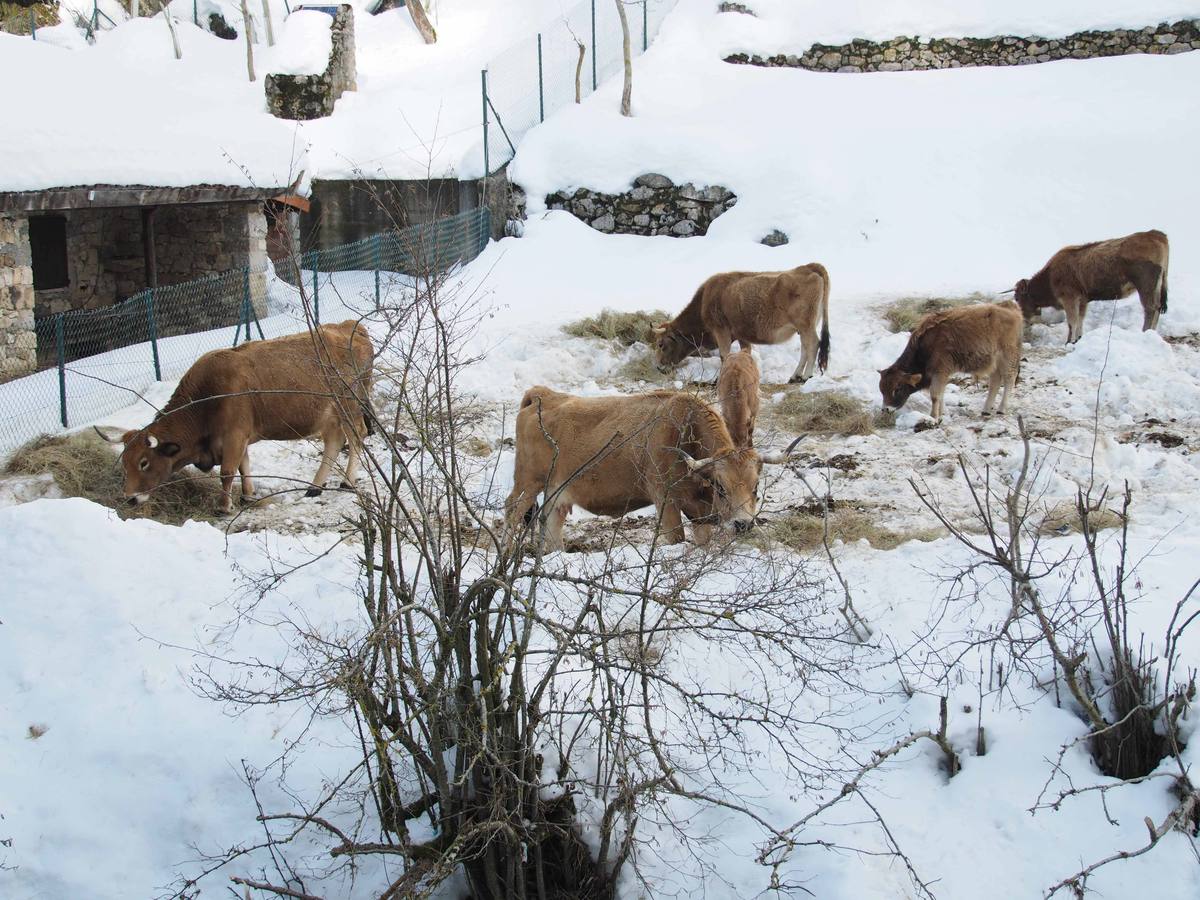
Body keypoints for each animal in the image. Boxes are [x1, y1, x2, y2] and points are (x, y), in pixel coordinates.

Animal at [96, 321, 372, 513]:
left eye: (144, 462)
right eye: (125, 462)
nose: (130, 498)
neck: (207, 398)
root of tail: (349, 326)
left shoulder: (234, 435)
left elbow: (228, 471)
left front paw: (224, 507)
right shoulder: (240, 437)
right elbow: (243, 465)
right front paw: (247, 495)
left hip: (349, 407)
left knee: (356, 436)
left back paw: (348, 481)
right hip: (329, 416)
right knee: (334, 442)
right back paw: (315, 487)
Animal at [504, 388, 796, 549]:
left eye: (755, 487)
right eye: (721, 487)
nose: (743, 524)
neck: (683, 432)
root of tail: (542, 395)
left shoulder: (699, 512)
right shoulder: (665, 502)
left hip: (557, 494)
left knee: (551, 527)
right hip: (527, 484)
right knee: (511, 512)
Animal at [652, 264, 830, 384]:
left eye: (660, 344)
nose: (658, 367)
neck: (704, 301)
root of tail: (808, 267)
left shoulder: (721, 330)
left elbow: (724, 355)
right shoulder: (742, 335)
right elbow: (746, 354)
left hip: (806, 325)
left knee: (813, 344)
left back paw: (806, 376)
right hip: (803, 328)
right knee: (805, 348)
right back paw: (795, 376)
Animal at [878, 304, 1017, 424]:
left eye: (897, 388)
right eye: (882, 390)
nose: (885, 409)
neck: (926, 346)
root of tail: (1012, 310)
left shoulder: (939, 372)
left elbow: (935, 395)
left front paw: (933, 417)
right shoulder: (940, 375)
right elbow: (941, 395)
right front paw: (942, 414)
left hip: (1007, 358)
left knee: (1009, 379)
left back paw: (1001, 409)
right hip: (995, 364)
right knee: (995, 382)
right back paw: (986, 411)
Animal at [1012, 229, 1171, 345]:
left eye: (1017, 298)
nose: (1023, 319)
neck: (1050, 275)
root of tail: (1156, 234)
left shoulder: (1070, 299)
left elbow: (1072, 321)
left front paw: (1069, 341)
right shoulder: (1082, 301)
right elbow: (1080, 319)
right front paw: (1078, 339)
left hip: (1145, 287)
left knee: (1150, 309)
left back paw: (1146, 332)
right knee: (1156, 309)